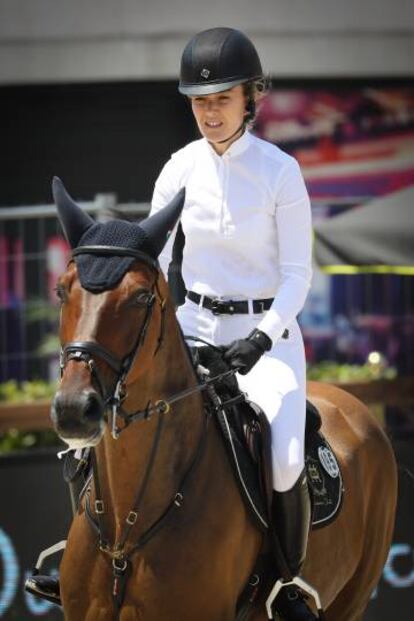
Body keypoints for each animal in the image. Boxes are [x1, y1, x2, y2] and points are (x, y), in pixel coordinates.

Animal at [50, 177, 400, 616]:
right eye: (61, 291)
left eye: (141, 297)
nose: (74, 409)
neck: (125, 536)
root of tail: (355, 407)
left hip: (353, 598)